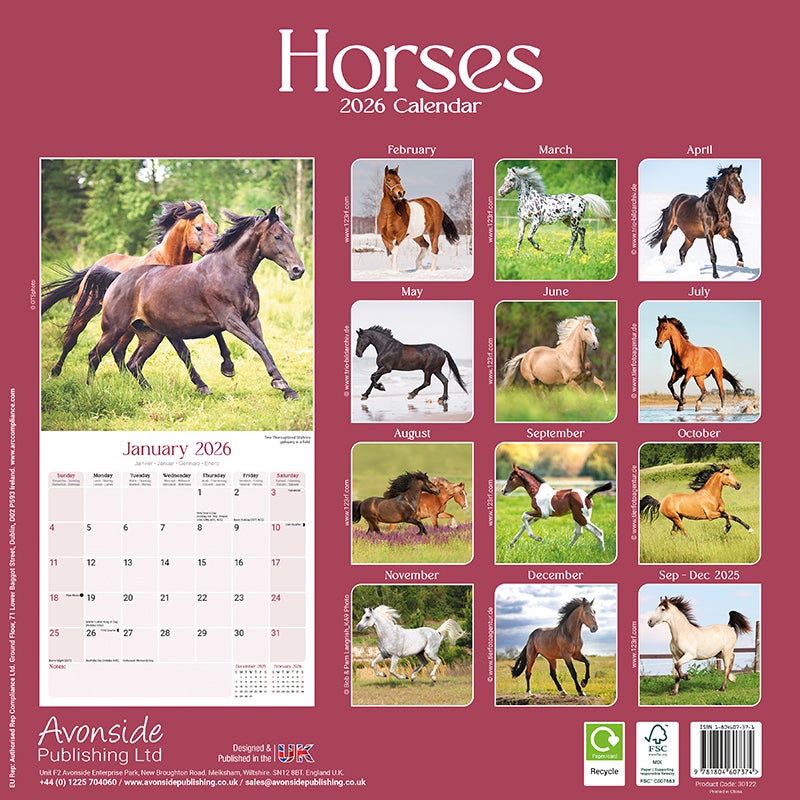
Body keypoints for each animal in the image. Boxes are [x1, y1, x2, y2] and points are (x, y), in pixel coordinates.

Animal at [41, 201, 232, 377]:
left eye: (215, 225)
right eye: (198, 227)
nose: (216, 248)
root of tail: (96, 265)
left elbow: (217, 331)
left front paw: (227, 366)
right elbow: (184, 351)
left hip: (128, 327)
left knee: (117, 350)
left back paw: (126, 379)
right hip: (87, 312)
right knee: (71, 340)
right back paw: (55, 373)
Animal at [86, 206, 304, 399]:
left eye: (291, 235)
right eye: (277, 237)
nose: (298, 270)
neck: (230, 271)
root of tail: (117, 277)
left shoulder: (252, 319)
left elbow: (264, 347)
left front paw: (288, 390)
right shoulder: (230, 319)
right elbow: (257, 344)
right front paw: (279, 383)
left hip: (151, 336)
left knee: (134, 363)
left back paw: (151, 391)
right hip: (114, 329)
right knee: (95, 355)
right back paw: (90, 390)